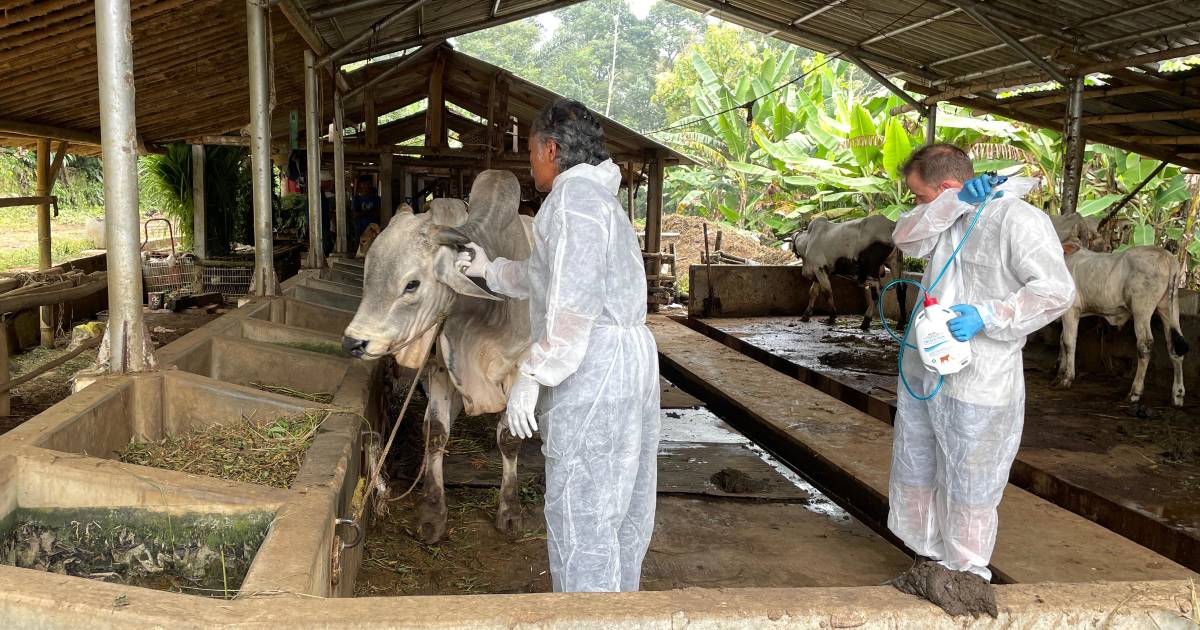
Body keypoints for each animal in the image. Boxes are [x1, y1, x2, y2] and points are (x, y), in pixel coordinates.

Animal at [340, 169, 532, 542]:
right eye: (367, 274)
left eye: (412, 284)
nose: (353, 343)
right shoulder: (442, 366)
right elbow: (436, 433)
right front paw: (432, 512)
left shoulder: (519, 368)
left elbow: (509, 438)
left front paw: (510, 511)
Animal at [1056, 238, 1185, 405]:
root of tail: (1166, 255)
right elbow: (1062, 340)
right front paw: (1059, 373)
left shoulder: (1071, 310)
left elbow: (1068, 342)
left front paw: (1066, 379)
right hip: (1169, 307)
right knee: (1174, 346)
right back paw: (1178, 395)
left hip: (1141, 309)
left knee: (1145, 345)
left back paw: (1134, 393)